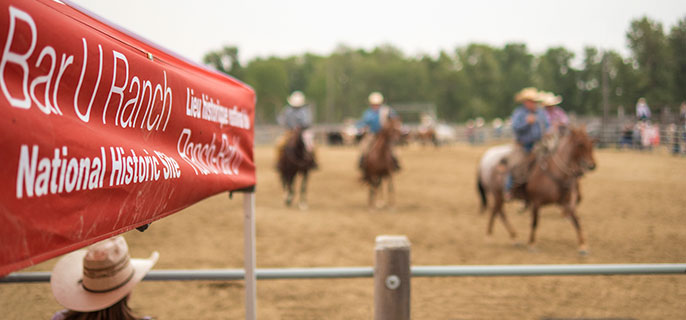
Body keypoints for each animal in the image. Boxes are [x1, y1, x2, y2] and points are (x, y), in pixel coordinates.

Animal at [478, 126, 596, 254]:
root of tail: (492, 166)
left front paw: (583, 246)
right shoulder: (535, 202)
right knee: (498, 212)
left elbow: (576, 220)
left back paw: (510, 237)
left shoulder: (565, 202)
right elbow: (534, 222)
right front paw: (531, 244)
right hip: (498, 195)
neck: (554, 173)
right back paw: (494, 236)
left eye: (591, 142)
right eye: (580, 144)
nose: (592, 165)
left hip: (499, 197)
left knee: (497, 212)